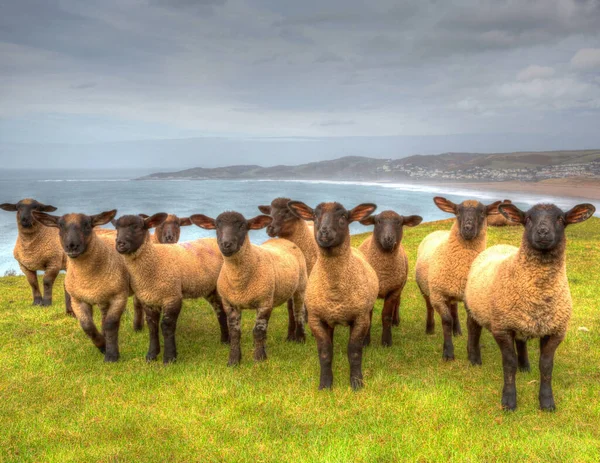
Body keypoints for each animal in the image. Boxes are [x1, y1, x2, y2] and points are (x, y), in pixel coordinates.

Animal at [32, 210, 131, 362]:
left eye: (87, 225)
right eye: (60, 226)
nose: (71, 245)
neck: (87, 280)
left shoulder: (119, 296)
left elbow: (111, 324)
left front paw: (112, 356)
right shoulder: (78, 300)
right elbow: (87, 326)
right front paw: (102, 346)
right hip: (102, 296)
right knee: (103, 316)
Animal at [190, 210, 308, 366]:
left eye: (242, 226)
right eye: (216, 226)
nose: (226, 244)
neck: (239, 281)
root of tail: (283, 240)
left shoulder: (264, 302)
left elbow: (257, 331)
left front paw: (259, 358)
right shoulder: (230, 304)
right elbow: (235, 333)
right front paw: (234, 361)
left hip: (301, 286)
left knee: (298, 311)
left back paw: (300, 338)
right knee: (290, 310)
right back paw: (288, 338)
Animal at [358, 212, 424, 346]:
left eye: (399, 222)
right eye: (378, 221)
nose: (388, 239)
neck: (384, 274)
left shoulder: (394, 290)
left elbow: (386, 315)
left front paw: (386, 341)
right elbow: (368, 316)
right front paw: (365, 342)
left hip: (401, 285)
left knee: (397, 303)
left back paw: (395, 321)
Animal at [412, 196, 502, 362]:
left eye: (482, 212)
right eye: (458, 212)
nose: (467, 228)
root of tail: (439, 231)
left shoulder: (469, 298)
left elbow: (470, 324)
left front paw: (472, 354)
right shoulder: (438, 295)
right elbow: (446, 320)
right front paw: (448, 353)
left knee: (453, 308)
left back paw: (457, 331)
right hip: (426, 289)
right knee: (430, 307)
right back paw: (430, 329)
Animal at [464, 201, 596, 412]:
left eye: (560, 218)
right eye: (528, 218)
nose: (542, 231)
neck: (538, 294)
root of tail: (499, 246)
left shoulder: (556, 331)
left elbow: (546, 366)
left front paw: (547, 402)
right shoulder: (502, 328)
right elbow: (508, 364)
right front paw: (509, 401)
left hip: (521, 320)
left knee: (521, 340)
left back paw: (524, 365)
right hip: (474, 308)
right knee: (473, 330)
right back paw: (474, 359)